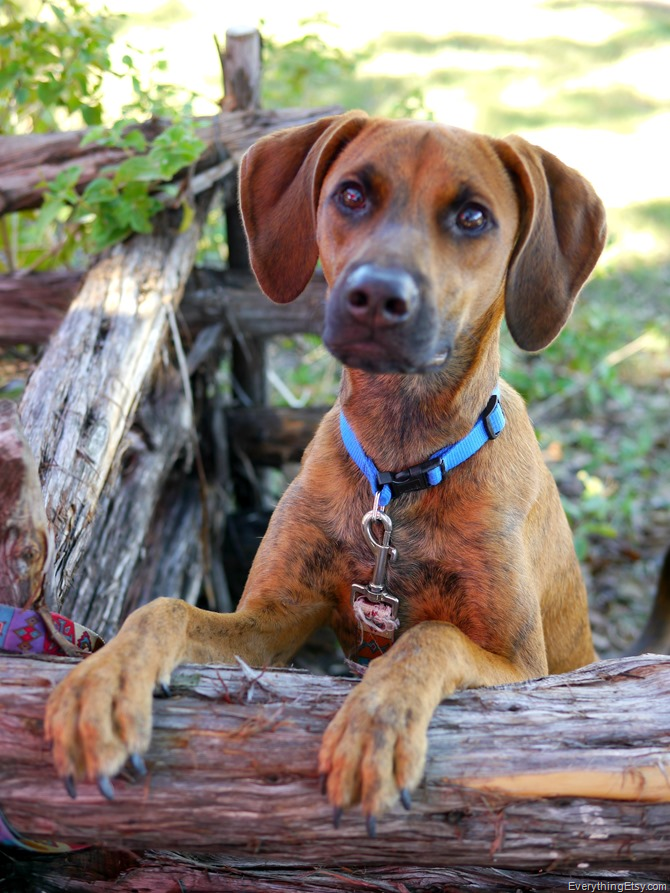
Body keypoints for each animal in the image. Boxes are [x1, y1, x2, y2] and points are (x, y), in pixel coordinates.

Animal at [50, 113, 612, 828]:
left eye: (472, 216)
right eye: (351, 194)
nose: (376, 296)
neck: (399, 473)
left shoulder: (524, 666)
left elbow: (427, 637)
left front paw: (377, 724)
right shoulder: (270, 623)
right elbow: (164, 609)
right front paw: (105, 679)